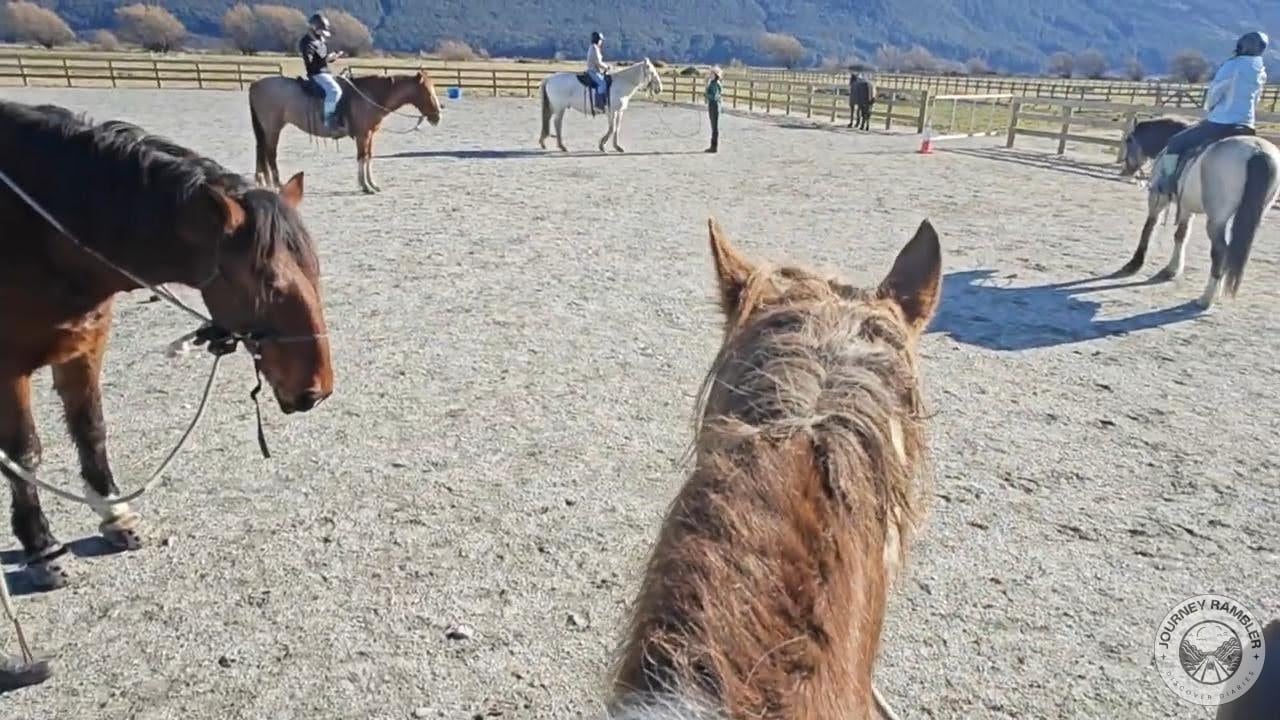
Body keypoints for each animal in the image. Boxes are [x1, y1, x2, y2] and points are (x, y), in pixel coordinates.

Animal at [0, 99, 334, 590]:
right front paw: (42, 546)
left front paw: (115, 513)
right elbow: (25, 453)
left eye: (314, 268)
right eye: (269, 283)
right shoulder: (8, 367)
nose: (318, 389)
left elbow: (91, 430)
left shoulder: (83, 348)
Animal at [248, 70, 442, 194]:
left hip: (265, 130)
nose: (437, 116)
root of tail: (255, 84)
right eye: (427, 92)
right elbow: (362, 157)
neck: (371, 95)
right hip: (273, 128)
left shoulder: (370, 134)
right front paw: (365, 186)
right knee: (270, 154)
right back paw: (277, 185)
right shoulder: (363, 135)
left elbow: (368, 157)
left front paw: (372, 184)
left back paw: (264, 183)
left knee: (261, 151)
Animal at [1115, 130, 1280, 309]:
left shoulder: (1157, 199)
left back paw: (1206, 298)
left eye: (1128, 143)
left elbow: (1149, 227)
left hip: (1216, 220)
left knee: (1220, 252)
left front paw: (1135, 263)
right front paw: (1172, 269)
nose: (1125, 171)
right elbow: (1180, 235)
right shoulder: (1186, 207)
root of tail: (1258, 151)